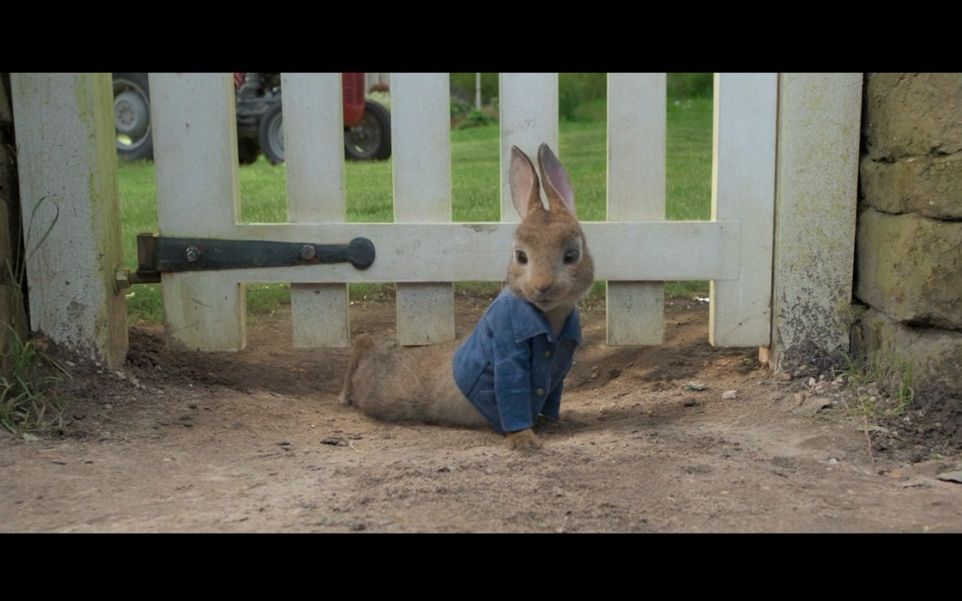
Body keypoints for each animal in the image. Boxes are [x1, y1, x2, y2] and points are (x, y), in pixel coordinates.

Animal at [338, 143, 592, 448]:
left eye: (571, 255)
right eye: (521, 256)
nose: (542, 286)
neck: (547, 318)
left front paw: (557, 421)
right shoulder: (508, 355)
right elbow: (512, 394)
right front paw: (524, 441)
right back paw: (344, 395)